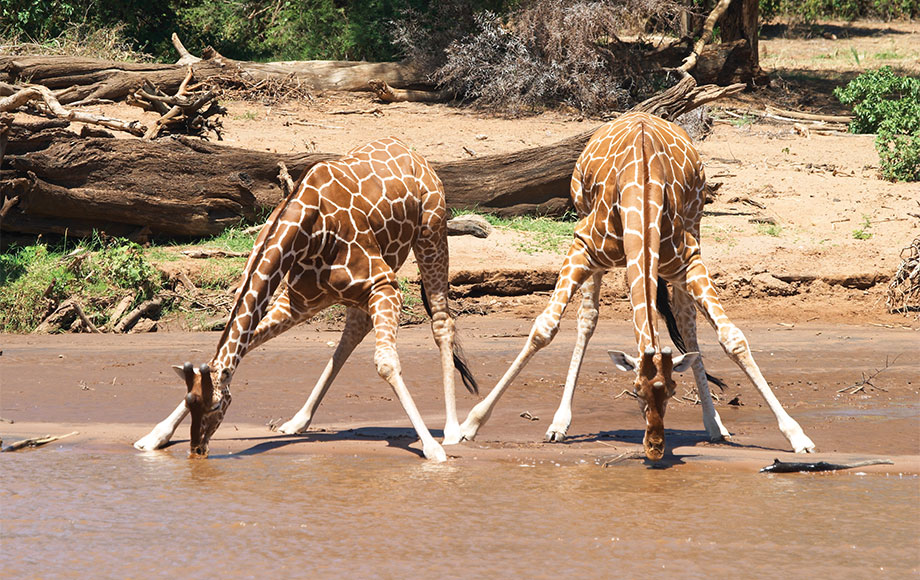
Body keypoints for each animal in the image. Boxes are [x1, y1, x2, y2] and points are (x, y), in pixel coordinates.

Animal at [134, 137, 478, 462]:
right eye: (190, 401)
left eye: (218, 405)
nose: (198, 450)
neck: (307, 229)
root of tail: (413, 153)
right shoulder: (296, 302)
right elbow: (243, 346)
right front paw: (154, 437)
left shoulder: (385, 283)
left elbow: (386, 364)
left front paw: (432, 449)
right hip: (354, 291)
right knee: (351, 336)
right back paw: (297, 421)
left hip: (432, 233)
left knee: (441, 322)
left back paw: (453, 429)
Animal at [458, 112, 812, 458]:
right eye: (635, 391)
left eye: (671, 392)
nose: (655, 447)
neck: (641, 199)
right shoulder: (582, 246)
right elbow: (544, 328)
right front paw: (469, 424)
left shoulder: (689, 260)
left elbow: (732, 338)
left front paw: (797, 435)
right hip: (586, 223)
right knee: (588, 318)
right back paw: (559, 423)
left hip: (695, 224)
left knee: (686, 320)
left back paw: (714, 424)